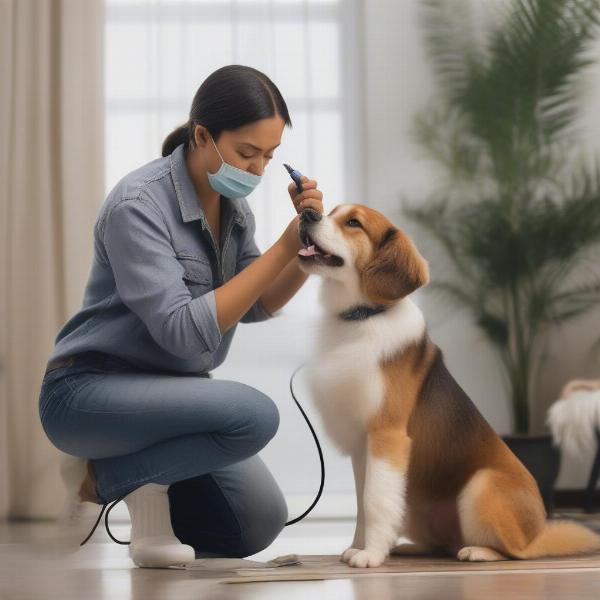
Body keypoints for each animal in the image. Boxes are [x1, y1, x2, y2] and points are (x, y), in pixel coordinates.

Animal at [296, 205, 600, 568]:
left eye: (353, 222)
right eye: (329, 211)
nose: (307, 214)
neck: (363, 317)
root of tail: (538, 531)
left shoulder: (387, 436)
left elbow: (373, 501)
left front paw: (370, 554)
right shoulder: (362, 446)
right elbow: (362, 503)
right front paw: (359, 546)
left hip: (482, 484)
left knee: (514, 552)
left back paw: (478, 551)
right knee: (441, 544)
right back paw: (411, 548)